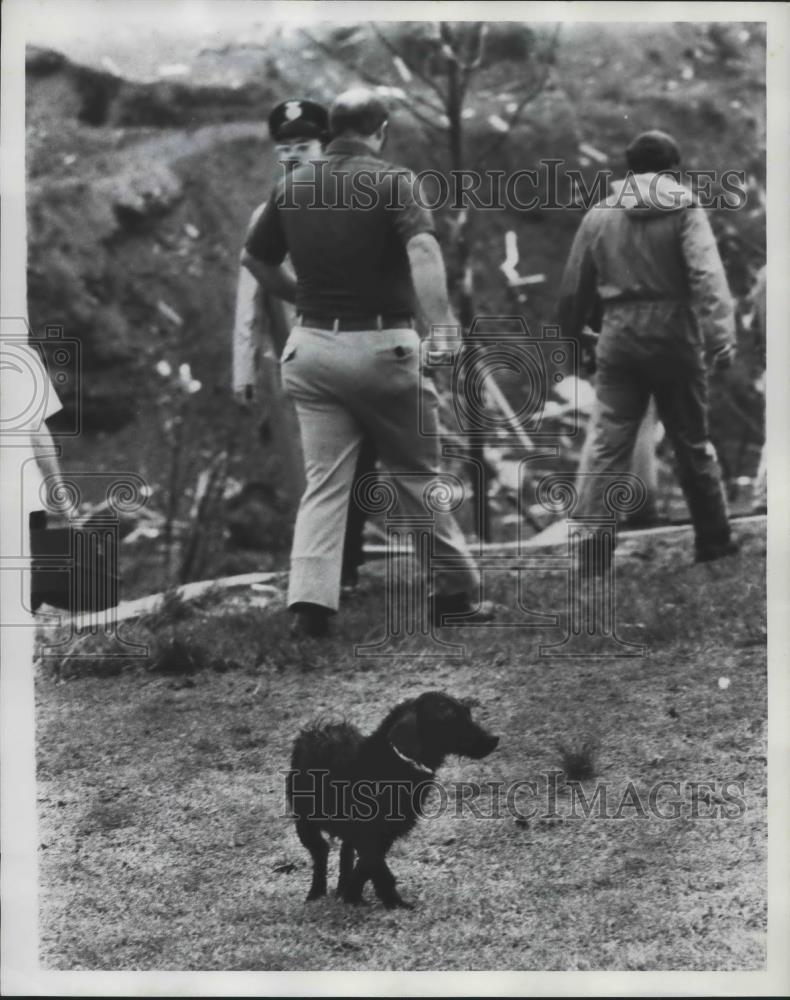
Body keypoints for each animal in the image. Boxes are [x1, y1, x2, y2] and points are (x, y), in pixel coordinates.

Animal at [286, 692, 502, 912]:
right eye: (449, 717)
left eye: (467, 713)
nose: (494, 739)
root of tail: (322, 729)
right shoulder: (368, 833)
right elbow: (375, 866)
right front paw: (391, 901)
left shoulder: (384, 832)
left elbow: (367, 865)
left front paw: (355, 895)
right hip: (305, 821)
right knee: (320, 851)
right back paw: (316, 893)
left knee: (345, 852)